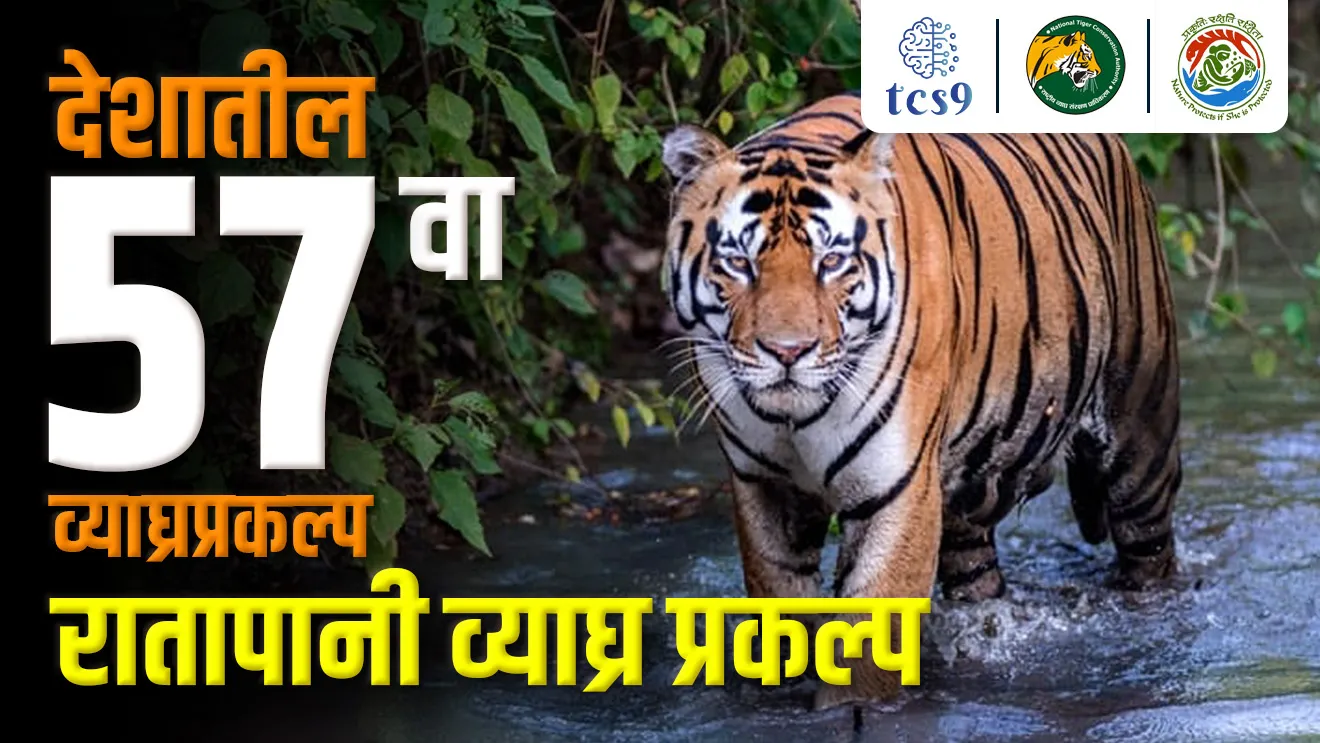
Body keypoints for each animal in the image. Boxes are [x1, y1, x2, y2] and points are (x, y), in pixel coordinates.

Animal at [659, 92, 1182, 710]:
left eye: (831, 262)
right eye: (739, 263)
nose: (788, 351)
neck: (795, 415)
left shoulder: (896, 486)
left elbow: (866, 639)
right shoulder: (764, 485)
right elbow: (780, 599)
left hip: (1140, 431)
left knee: (1148, 550)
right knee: (976, 572)